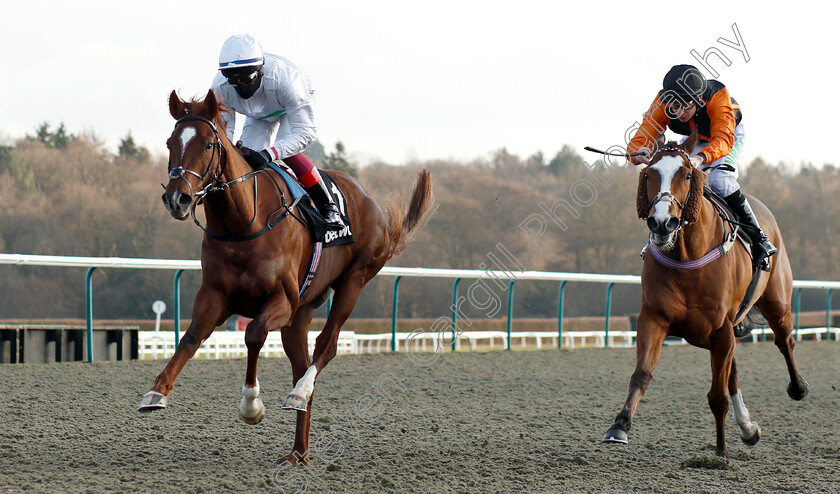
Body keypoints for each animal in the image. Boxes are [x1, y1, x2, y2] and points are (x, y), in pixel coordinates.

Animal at [137, 89, 434, 466]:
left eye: (207, 144)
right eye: (170, 142)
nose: (177, 198)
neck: (243, 224)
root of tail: (372, 203)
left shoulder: (282, 301)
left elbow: (253, 333)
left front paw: (251, 406)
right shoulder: (215, 296)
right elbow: (190, 338)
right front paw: (155, 393)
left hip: (354, 281)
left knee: (325, 347)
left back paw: (298, 396)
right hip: (302, 312)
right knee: (301, 364)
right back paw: (298, 452)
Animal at [604, 132, 808, 460]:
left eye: (687, 175)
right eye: (648, 174)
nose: (662, 223)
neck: (687, 255)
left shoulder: (720, 328)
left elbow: (717, 396)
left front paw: (721, 452)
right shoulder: (654, 318)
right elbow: (642, 374)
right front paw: (619, 426)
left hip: (776, 302)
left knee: (783, 340)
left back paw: (797, 387)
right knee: (734, 370)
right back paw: (747, 428)